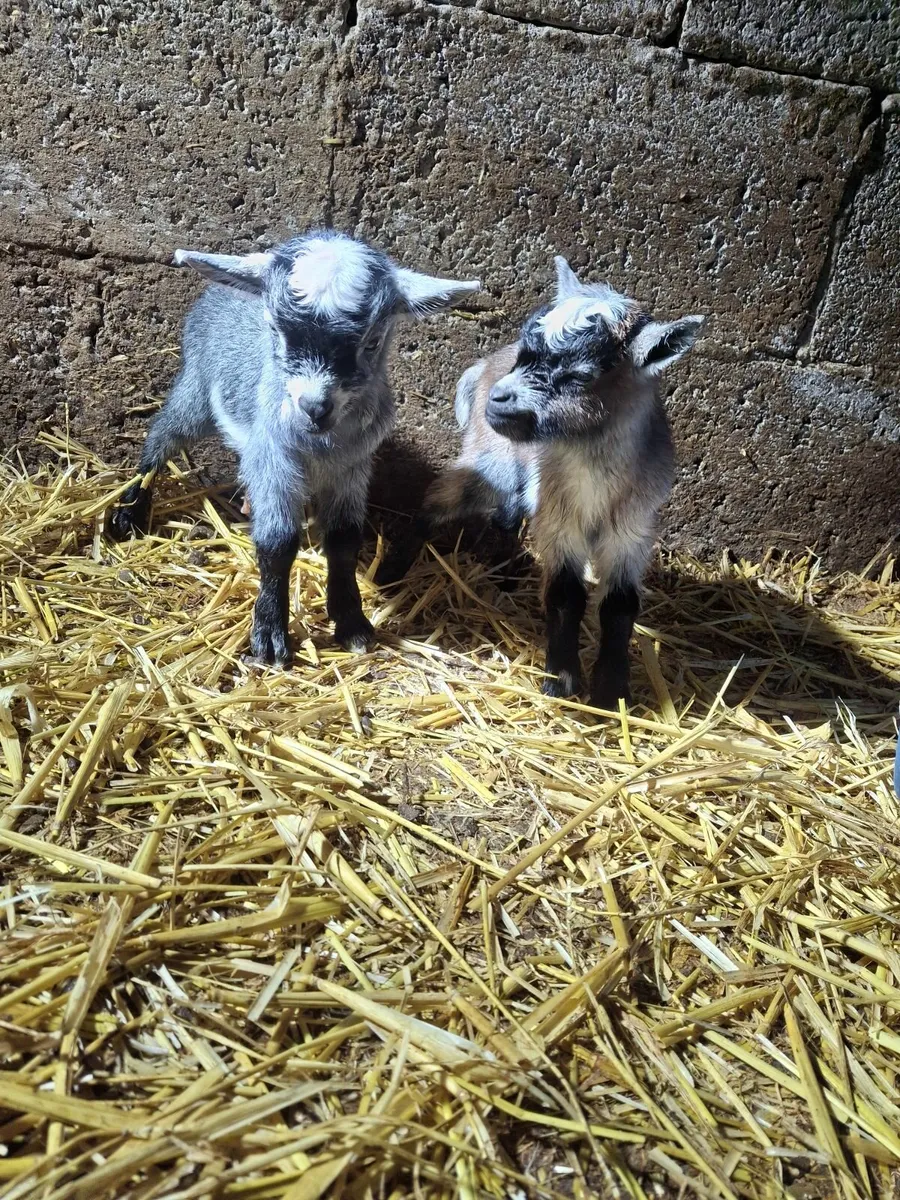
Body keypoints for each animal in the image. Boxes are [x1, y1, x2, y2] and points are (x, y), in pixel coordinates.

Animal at [108, 230, 479, 664]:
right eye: (275, 328)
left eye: (372, 342)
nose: (315, 407)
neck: (319, 443)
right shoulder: (275, 457)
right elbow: (278, 542)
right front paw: (269, 636)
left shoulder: (351, 466)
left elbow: (344, 539)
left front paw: (351, 623)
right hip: (196, 389)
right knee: (162, 435)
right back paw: (130, 509)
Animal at [376, 255, 703, 709]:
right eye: (527, 350)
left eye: (582, 375)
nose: (499, 399)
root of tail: (484, 365)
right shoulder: (560, 522)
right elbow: (566, 594)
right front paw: (561, 681)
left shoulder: (632, 533)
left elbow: (620, 605)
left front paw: (611, 690)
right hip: (490, 461)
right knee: (439, 500)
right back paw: (391, 570)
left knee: (507, 516)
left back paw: (505, 575)